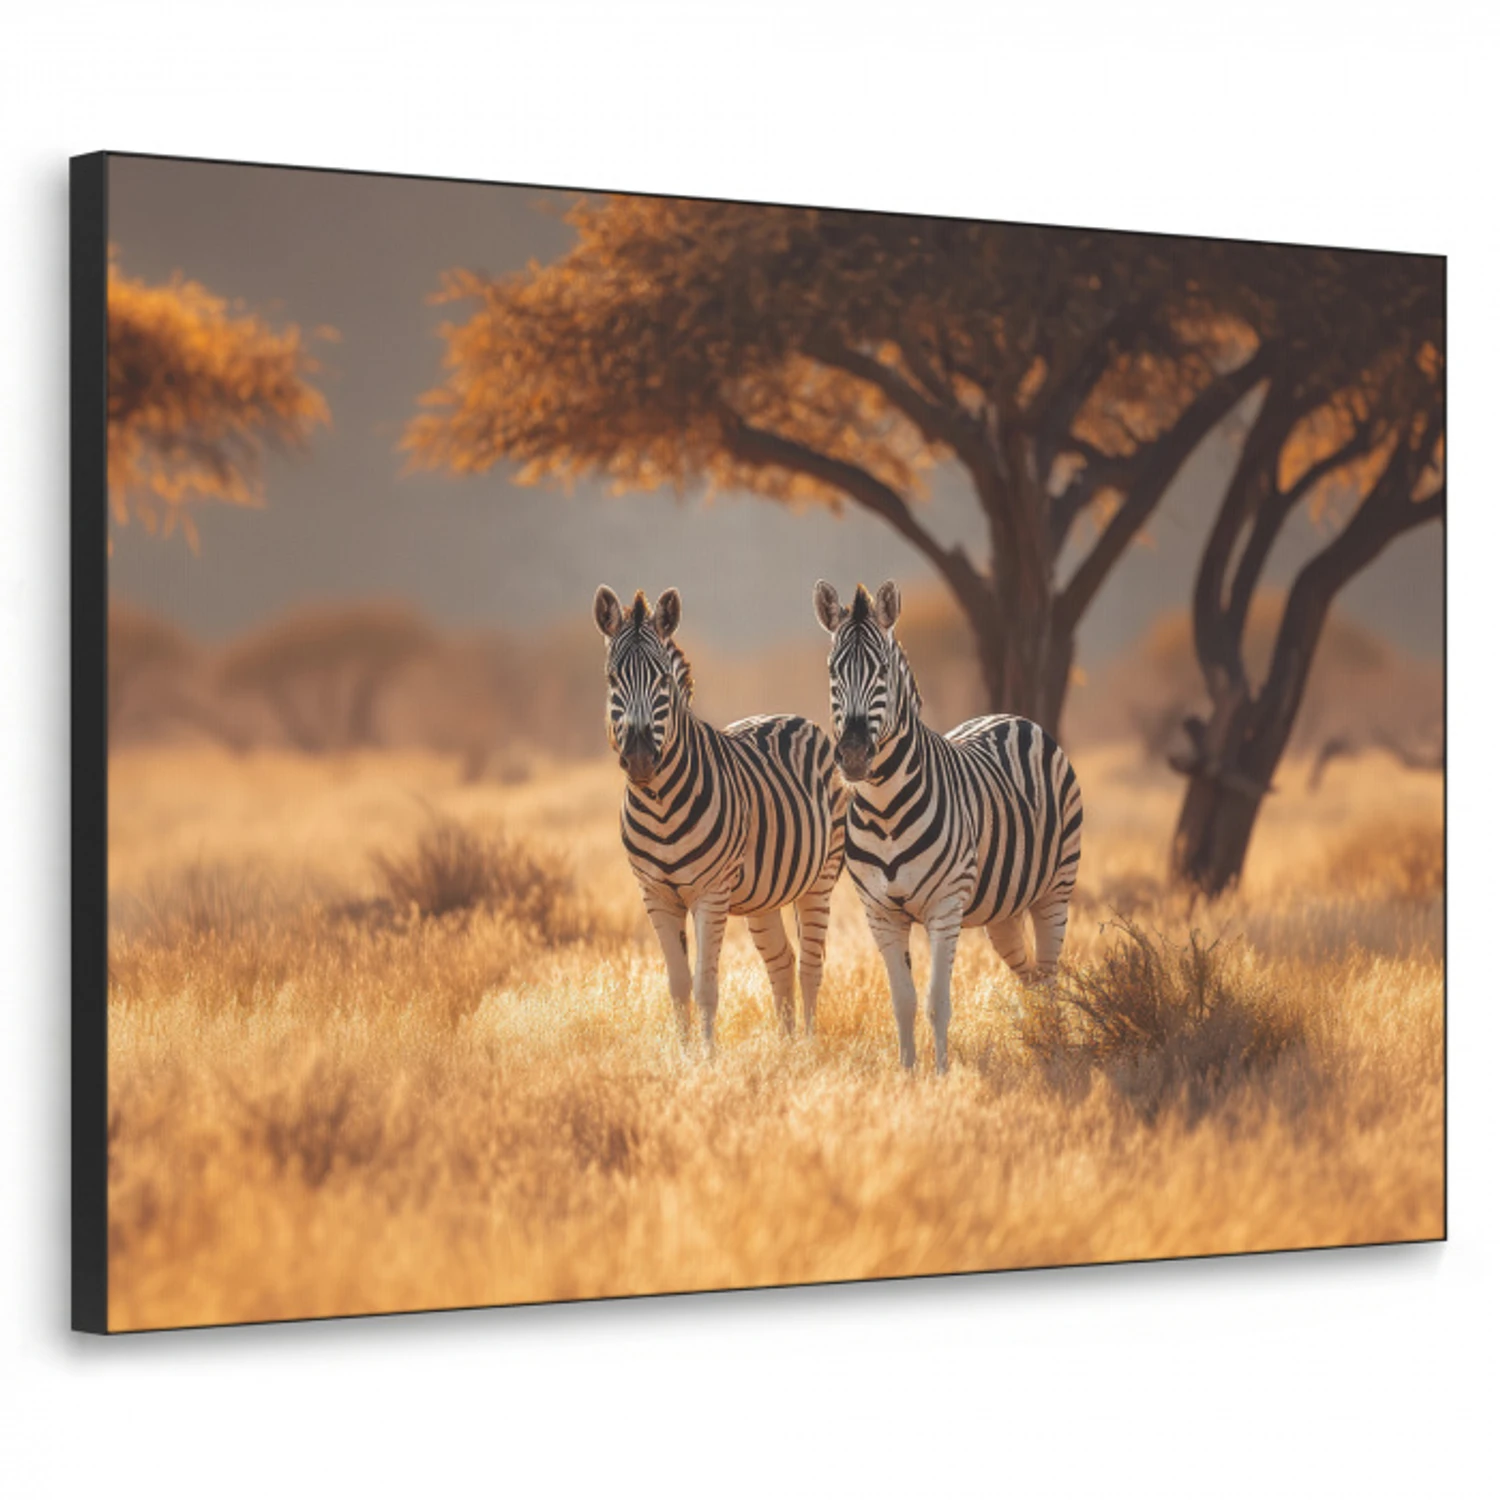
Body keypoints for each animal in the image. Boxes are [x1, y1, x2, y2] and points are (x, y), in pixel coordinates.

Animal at [594, 585, 848, 1050]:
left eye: (662, 679)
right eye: (612, 679)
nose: (639, 758)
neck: (659, 805)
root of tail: (791, 716)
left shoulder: (709, 893)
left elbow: (705, 984)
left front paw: (708, 1058)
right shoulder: (655, 894)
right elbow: (678, 985)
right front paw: (683, 1055)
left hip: (819, 879)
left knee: (810, 966)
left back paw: (806, 1047)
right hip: (763, 894)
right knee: (782, 961)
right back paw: (784, 1049)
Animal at [813, 579, 1083, 1073]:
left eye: (882, 670)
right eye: (832, 671)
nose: (855, 755)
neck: (884, 810)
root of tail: (1013, 717)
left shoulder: (945, 906)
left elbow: (937, 1001)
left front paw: (940, 1075)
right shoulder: (879, 913)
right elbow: (902, 1000)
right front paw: (907, 1074)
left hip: (1056, 888)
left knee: (1050, 974)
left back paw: (1055, 1049)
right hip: (1003, 909)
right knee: (1030, 976)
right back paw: (1038, 1043)